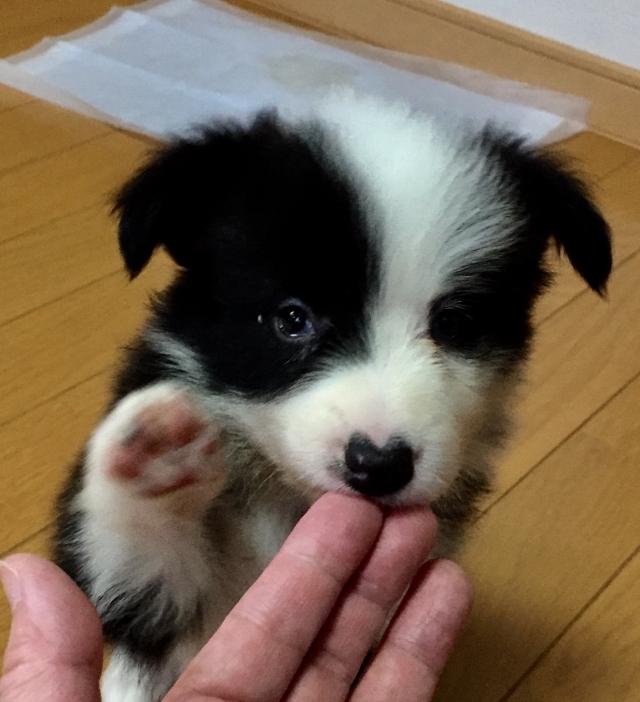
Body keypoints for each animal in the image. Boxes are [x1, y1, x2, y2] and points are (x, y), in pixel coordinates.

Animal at [54, 92, 611, 701]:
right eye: (291, 318)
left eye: (455, 324)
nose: (379, 465)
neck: (288, 504)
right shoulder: (159, 619)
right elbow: (139, 573)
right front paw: (160, 455)